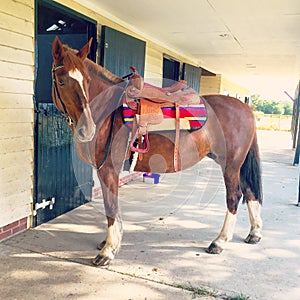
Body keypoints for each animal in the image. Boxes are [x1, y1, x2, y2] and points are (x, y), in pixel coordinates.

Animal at [51, 36, 262, 266]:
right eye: (61, 81)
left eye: (87, 82)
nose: (87, 129)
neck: (107, 112)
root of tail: (246, 108)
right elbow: (112, 207)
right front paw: (110, 242)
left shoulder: (108, 170)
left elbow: (111, 208)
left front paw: (108, 251)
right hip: (237, 164)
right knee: (249, 192)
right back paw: (254, 233)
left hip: (231, 165)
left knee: (234, 196)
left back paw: (220, 241)